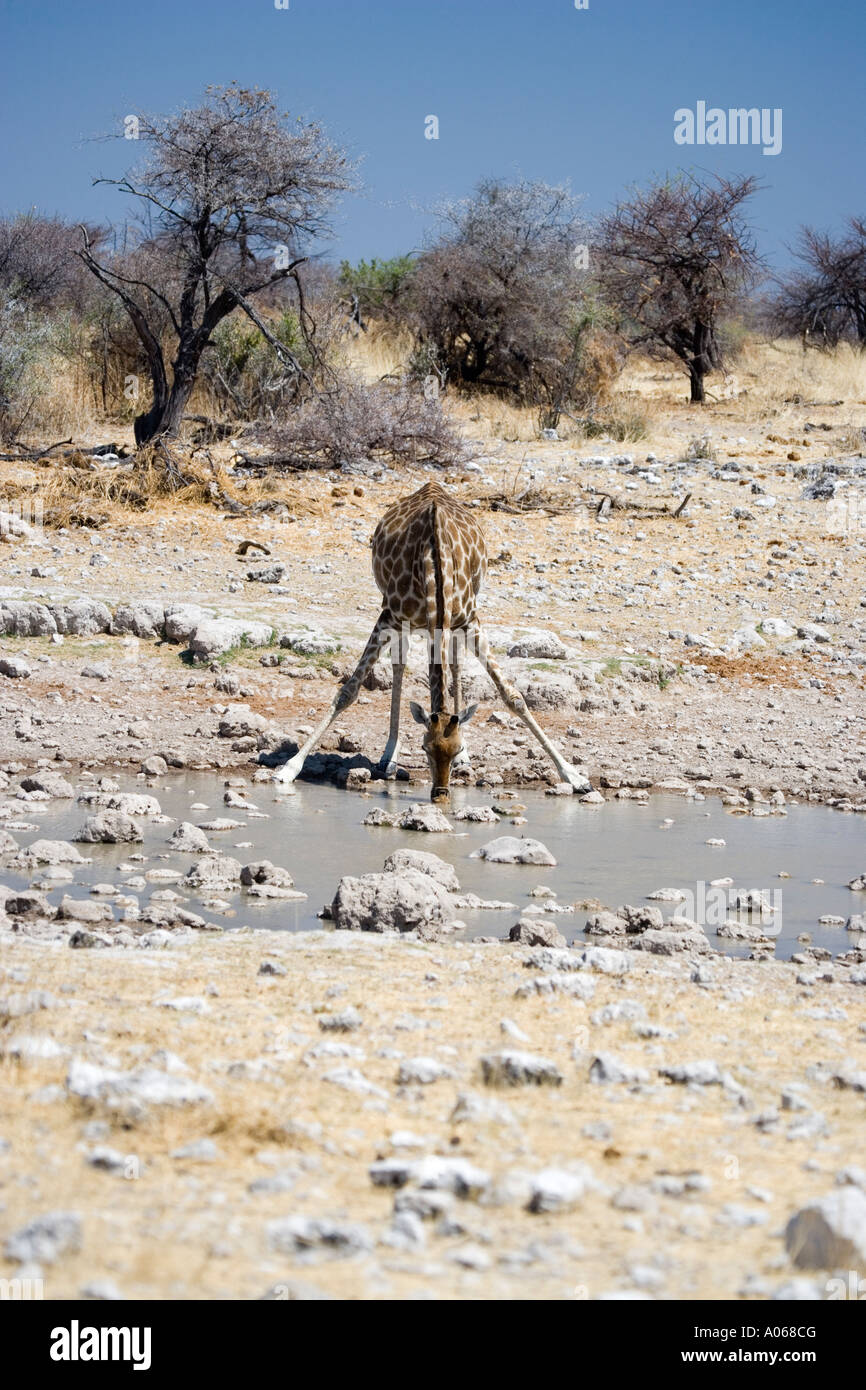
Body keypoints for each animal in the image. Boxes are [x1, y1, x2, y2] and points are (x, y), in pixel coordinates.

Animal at [273, 480, 591, 799]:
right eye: (425, 748)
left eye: (456, 748)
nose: (440, 793)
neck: (435, 562)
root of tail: (432, 485)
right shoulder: (389, 616)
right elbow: (347, 692)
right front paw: (289, 768)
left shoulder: (469, 619)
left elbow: (513, 696)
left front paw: (575, 776)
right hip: (406, 622)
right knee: (400, 668)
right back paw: (389, 756)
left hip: (451, 625)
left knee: (454, 666)